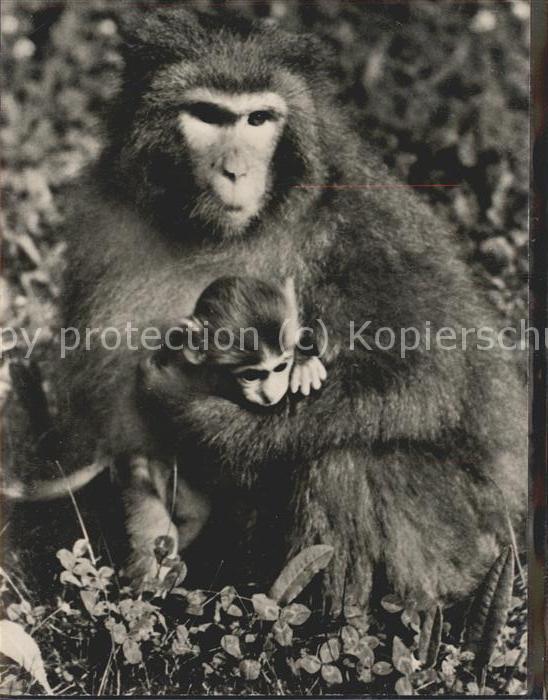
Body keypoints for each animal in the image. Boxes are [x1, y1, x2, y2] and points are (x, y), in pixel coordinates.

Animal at [55, 8, 526, 612]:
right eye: (208, 116)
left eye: (258, 119)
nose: (235, 170)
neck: (220, 231)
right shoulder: (104, 226)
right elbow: (118, 427)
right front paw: (148, 538)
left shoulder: (366, 223)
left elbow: (429, 375)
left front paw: (197, 411)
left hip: (471, 533)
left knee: (345, 462)